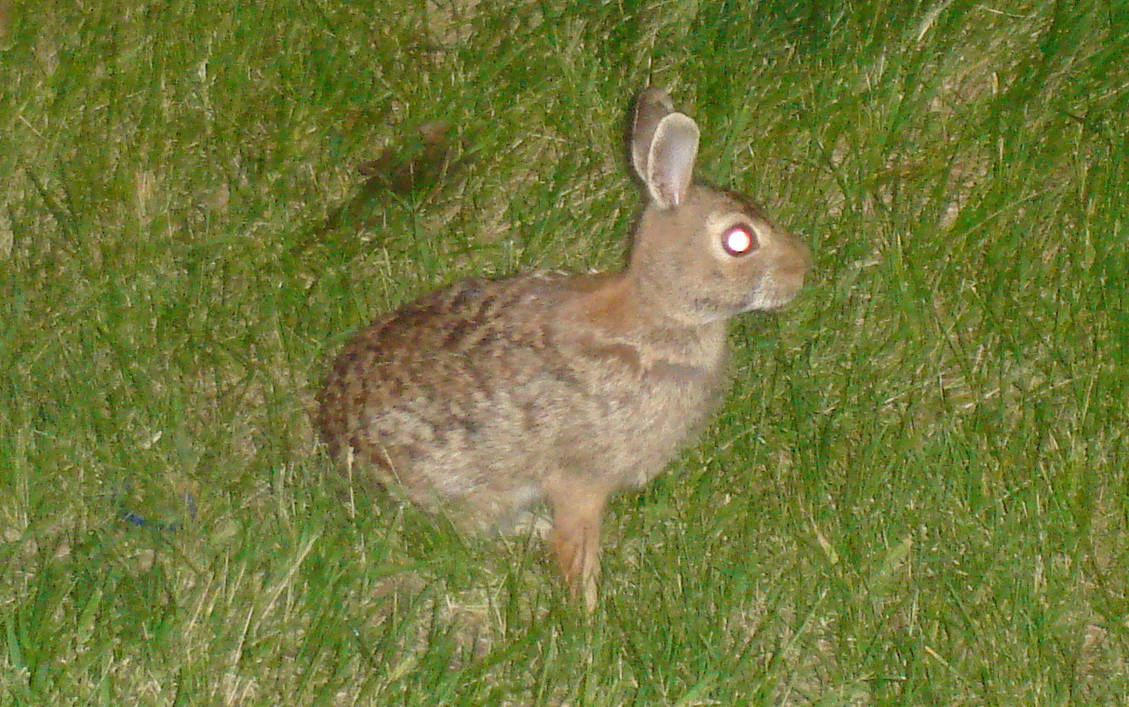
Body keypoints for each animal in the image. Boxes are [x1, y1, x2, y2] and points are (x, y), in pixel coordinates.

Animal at [316, 87, 811, 610]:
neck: (659, 315)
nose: (802, 270)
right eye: (739, 240)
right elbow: (578, 544)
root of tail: (336, 440)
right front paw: (589, 611)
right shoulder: (582, 479)